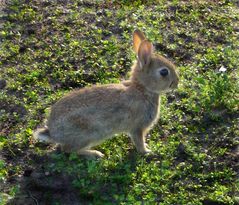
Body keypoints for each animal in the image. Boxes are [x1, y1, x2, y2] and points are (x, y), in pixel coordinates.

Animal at [34, 29, 179, 159]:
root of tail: (53, 133)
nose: (176, 82)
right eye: (164, 72)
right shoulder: (137, 127)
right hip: (89, 135)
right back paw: (95, 154)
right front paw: (147, 152)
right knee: (68, 149)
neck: (142, 89)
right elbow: (139, 142)